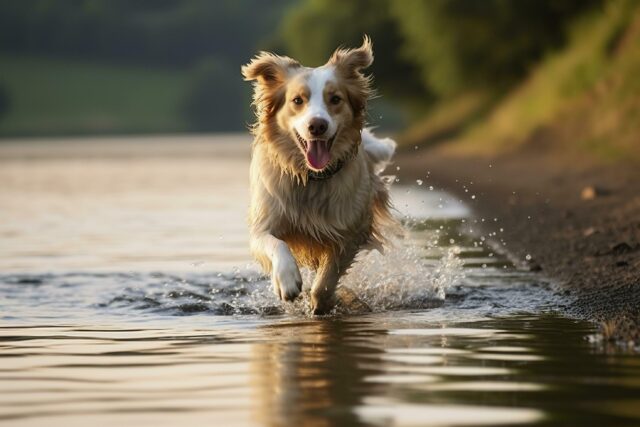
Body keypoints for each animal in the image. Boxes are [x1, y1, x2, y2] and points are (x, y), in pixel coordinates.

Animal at [244, 36, 398, 314]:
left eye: (335, 99)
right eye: (297, 100)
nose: (317, 125)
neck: (310, 178)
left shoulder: (351, 231)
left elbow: (327, 278)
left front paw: (320, 303)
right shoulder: (263, 221)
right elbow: (274, 243)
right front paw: (287, 280)